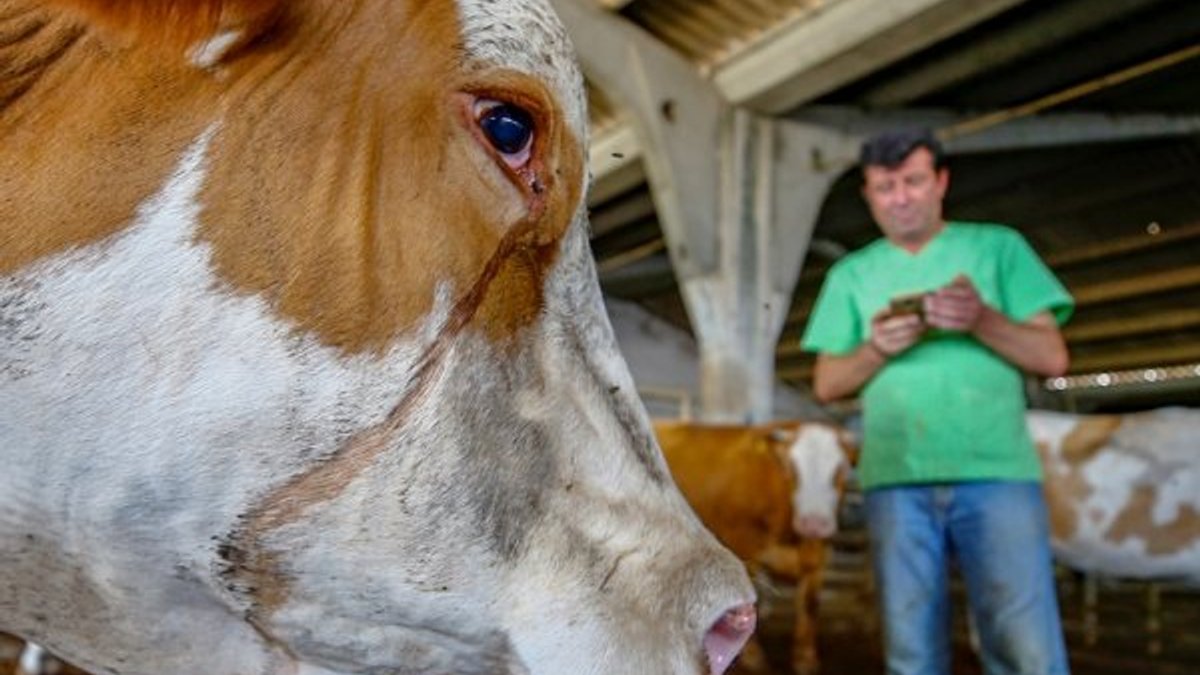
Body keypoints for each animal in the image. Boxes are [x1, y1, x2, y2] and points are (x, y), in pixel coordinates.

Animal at [657, 420, 854, 672]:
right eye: (792, 468)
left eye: (841, 469)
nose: (814, 523)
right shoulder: (744, 549)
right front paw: (752, 656)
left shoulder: (818, 556)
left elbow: (810, 606)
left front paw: (805, 658)